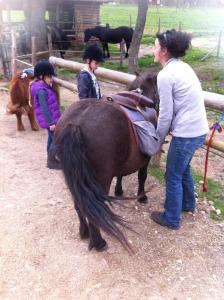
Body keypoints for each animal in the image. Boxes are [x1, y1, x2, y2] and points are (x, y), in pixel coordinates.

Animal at [54, 71, 158, 252]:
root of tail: (75, 123)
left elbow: (121, 175)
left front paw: (119, 190)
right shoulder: (145, 159)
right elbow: (142, 176)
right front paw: (142, 196)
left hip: (71, 177)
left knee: (79, 203)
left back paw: (84, 232)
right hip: (98, 179)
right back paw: (98, 242)